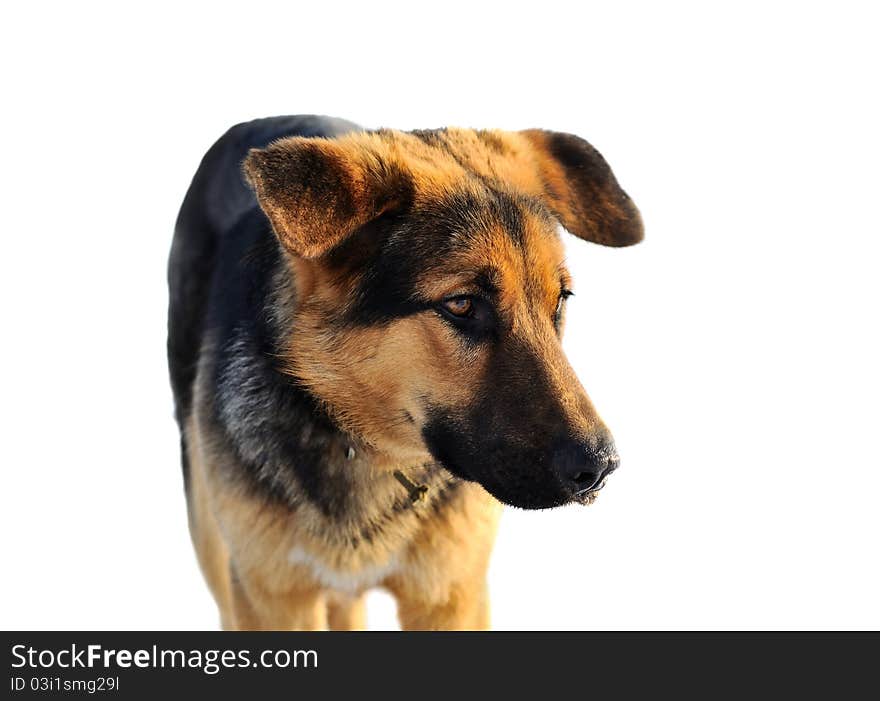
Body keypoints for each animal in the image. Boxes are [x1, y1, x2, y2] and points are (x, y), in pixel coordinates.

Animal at [168, 115, 644, 628]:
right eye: (461, 304)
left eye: (560, 301)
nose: (599, 468)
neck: (362, 445)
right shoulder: (272, 597)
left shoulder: (449, 594)